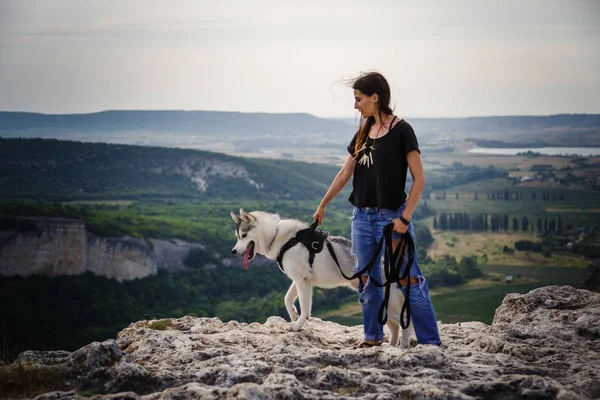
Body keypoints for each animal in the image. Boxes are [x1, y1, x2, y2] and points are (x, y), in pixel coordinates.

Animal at [230, 209, 412, 346]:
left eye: (243, 236)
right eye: (237, 236)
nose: (233, 251)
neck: (277, 237)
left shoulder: (303, 282)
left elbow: (305, 308)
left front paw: (297, 325)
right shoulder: (299, 280)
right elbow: (287, 299)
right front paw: (294, 315)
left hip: (389, 303)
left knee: (405, 323)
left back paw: (402, 346)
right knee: (395, 327)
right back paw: (390, 347)